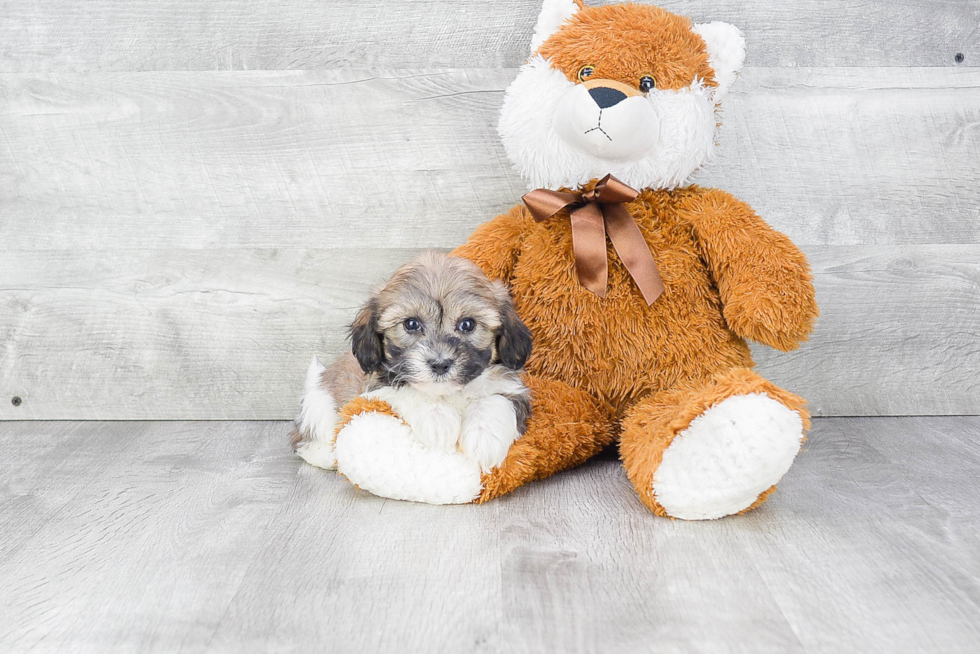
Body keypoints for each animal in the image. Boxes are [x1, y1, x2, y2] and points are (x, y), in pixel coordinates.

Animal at [290, 252, 536, 476]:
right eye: (411, 324)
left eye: (467, 324)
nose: (440, 364)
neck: (448, 393)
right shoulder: (375, 389)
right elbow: (409, 392)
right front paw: (438, 420)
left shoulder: (512, 387)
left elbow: (495, 399)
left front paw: (484, 437)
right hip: (319, 406)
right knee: (306, 440)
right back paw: (326, 455)